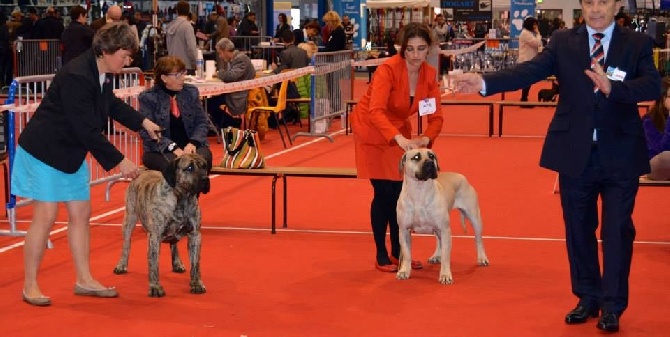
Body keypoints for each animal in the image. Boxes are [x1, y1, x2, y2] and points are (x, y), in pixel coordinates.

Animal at [113, 154, 210, 296]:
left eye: (204, 166)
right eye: (189, 168)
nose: (205, 179)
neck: (182, 199)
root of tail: (141, 172)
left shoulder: (195, 235)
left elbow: (195, 264)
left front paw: (196, 283)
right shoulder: (155, 236)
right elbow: (154, 265)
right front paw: (155, 287)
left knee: (174, 244)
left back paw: (177, 263)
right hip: (129, 219)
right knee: (126, 244)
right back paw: (121, 265)